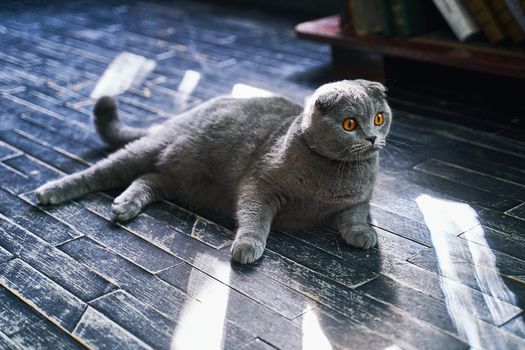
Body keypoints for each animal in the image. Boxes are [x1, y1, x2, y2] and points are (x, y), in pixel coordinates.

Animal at [35, 79, 388, 264]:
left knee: (147, 179)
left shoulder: (357, 201)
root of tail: (185, 113)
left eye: (379, 118)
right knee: (99, 173)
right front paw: (247, 246)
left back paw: (125, 205)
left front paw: (363, 235)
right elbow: (255, 219)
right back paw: (49, 191)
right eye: (349, 124)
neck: (333, 174)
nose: (372, 138)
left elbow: (356, 216)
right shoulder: (258, 186)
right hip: (150, 150)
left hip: (179, 178)